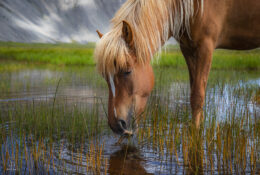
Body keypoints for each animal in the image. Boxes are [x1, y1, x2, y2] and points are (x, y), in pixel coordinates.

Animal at [95, 0, 260, 135]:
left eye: (127, 71)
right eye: (105, 77)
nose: (116, 126)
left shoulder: (206, 46)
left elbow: (197, 96)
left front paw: (195, 136)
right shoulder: (188, 49)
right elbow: (194, 92)